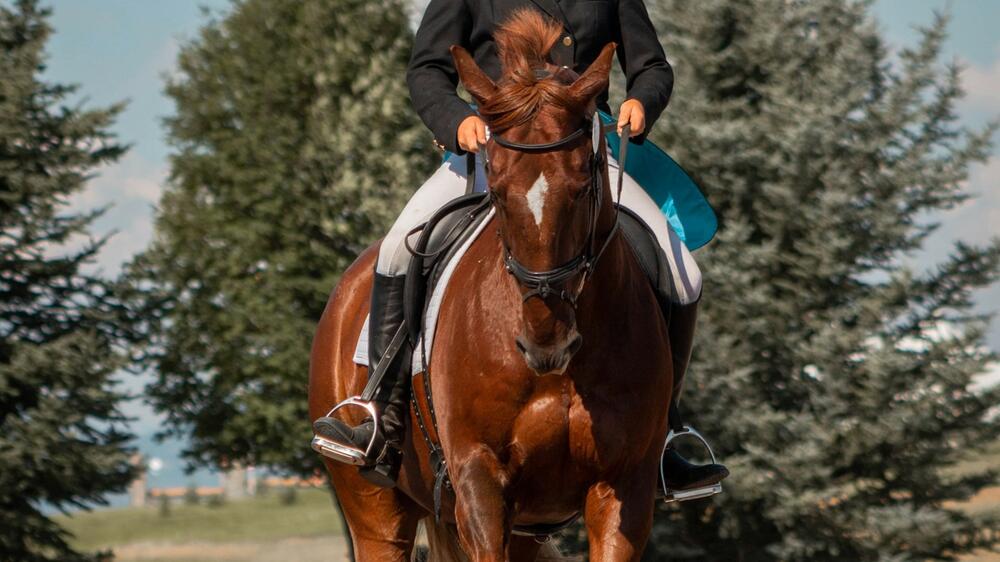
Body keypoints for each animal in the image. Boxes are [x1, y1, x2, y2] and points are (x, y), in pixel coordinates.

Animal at [306, 13, 672, 560]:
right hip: (374, 510)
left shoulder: (623, 487)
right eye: (496, 192)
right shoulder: (480, 480)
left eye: (582, 187)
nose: (546, 344)